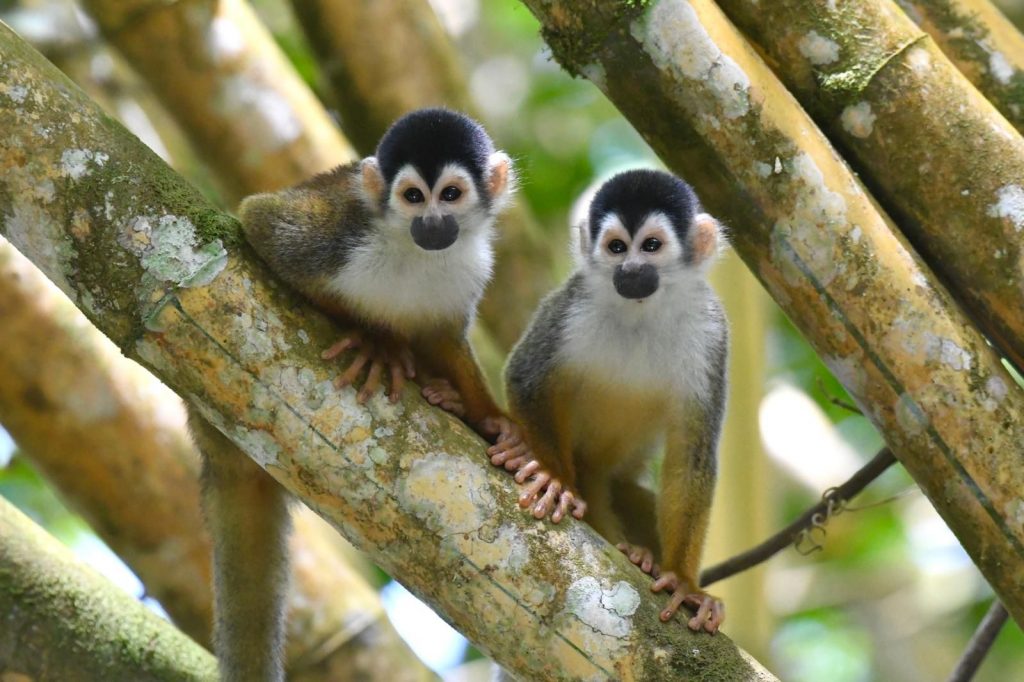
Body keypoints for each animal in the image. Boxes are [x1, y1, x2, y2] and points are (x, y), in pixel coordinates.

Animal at [200, 109, 532, 675]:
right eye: (414, 197)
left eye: (450, 195)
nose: (433, 224)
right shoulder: (340, 230)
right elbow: (259, 224)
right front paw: (378, 341)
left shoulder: (472, 264)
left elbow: (443, 335)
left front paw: (493, 422)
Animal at [497, 169, 729, 630]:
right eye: (617, 247)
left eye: (651, 246)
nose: (631, 269)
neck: (642, 310)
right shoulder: (573, 304)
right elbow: (526, 376)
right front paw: (556, 481)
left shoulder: (712, 330)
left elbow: (691, 451)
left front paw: (684, 582)